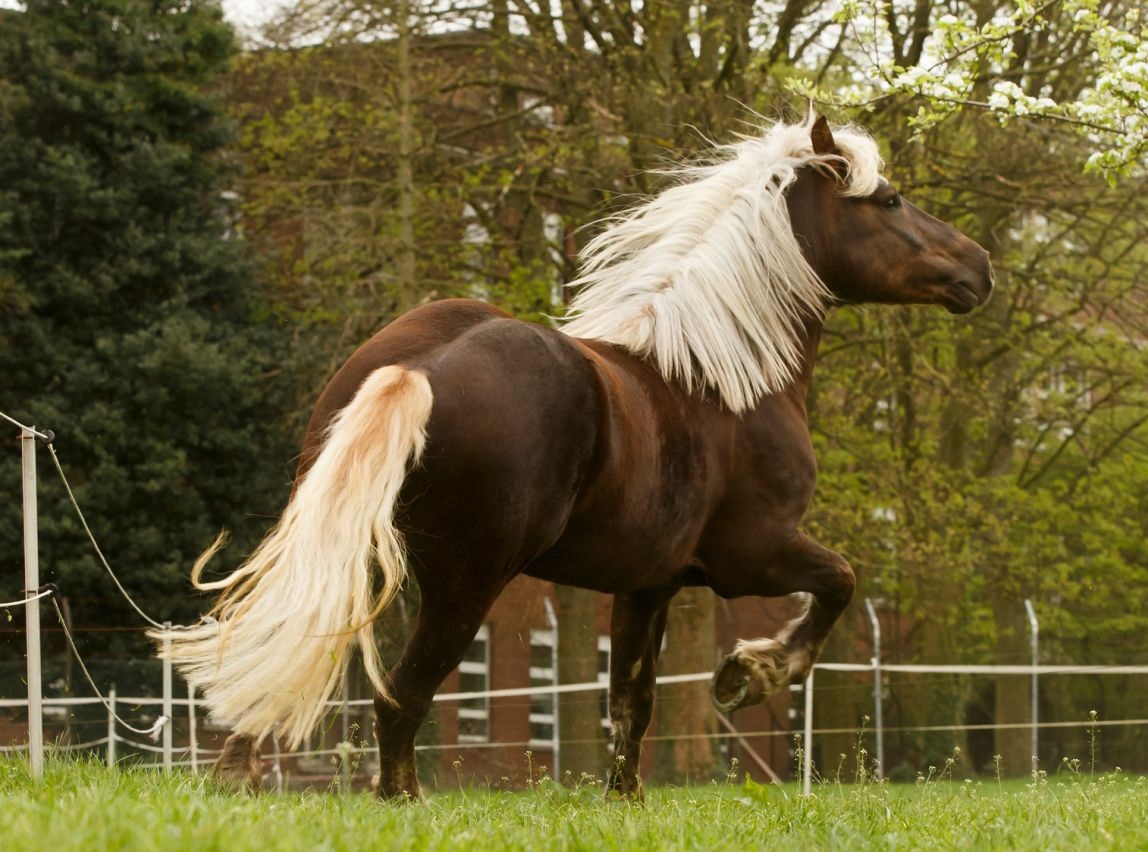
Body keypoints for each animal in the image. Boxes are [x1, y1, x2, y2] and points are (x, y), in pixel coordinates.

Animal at [154, 116, 996, 803]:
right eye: (889, 201)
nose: (980, 267)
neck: (721, 377)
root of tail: (420, 370)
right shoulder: (753, 556)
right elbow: (838, 585)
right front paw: (750, 674)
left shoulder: (650, 583)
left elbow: (633, 699)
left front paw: (627, 799)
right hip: (465, 584)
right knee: (402, 696)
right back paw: (403, 800)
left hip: (362, 561)